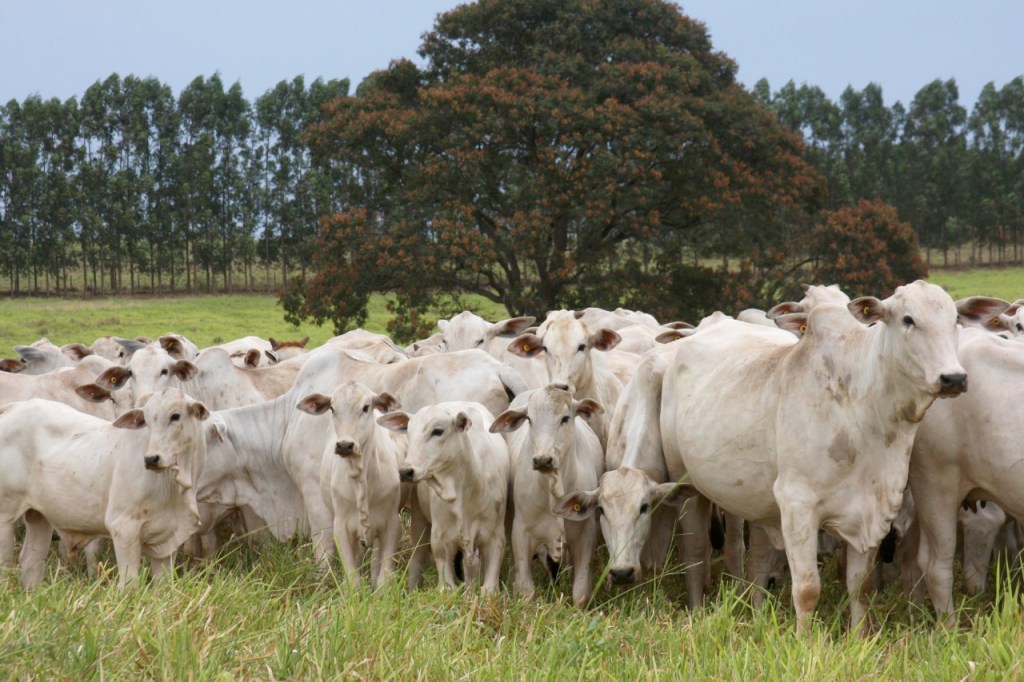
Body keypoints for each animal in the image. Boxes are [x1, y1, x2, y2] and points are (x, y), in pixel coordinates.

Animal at [0, 385, 207, 585]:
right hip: (5, 517)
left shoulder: (167, 541)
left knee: (31, 562)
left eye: (175, 416)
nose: (151, 459)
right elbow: (129, 583)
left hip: (38, 515)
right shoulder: (123, 528)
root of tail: (14, 407)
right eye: (147, 421)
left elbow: (162, 584)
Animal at [296, 378, 403, 585]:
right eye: (332, 408)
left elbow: (384, 577)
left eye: (366, 407)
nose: (345, 445)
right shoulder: (342, 526)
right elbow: (353, 577)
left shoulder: (392, 522)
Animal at [380, 401, 507, 593]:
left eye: (437, 431)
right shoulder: (440, 537)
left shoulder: (494, 536)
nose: (406, 472)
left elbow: (489, 587)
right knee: (418, 556)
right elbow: (447, 586)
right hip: (419, 519)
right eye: (409, 432)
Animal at [489, 385, 602, 602]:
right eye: (529, 419)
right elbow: (525, 589)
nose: (542, 459)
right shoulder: (521, 532)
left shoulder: (585, 534)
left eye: (565, 418)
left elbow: (581, 591)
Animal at [663, 278, 966, 630]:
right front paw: (803, 639)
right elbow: (807, 589)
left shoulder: (870, 509)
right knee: (695, 550)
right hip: (686, 486)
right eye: (908, 319)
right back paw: (697, 608)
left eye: (955, 320)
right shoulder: (798, 505)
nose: (954, 378)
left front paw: (859, 635)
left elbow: (859, 585)